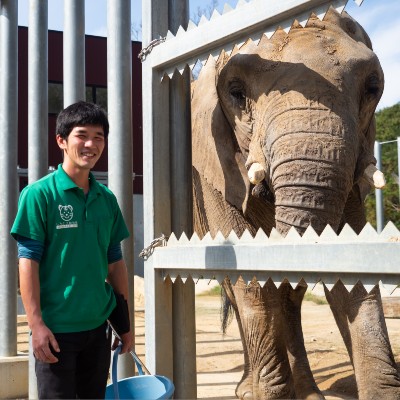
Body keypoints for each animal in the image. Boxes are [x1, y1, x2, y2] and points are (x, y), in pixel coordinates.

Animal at [191, 7, 400, 400]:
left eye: (372, 87)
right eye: (237, 93)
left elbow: (349, 269)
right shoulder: (215, 170)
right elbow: (252, 281)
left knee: (290, 295)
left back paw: (306, 392)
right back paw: (248, 388)